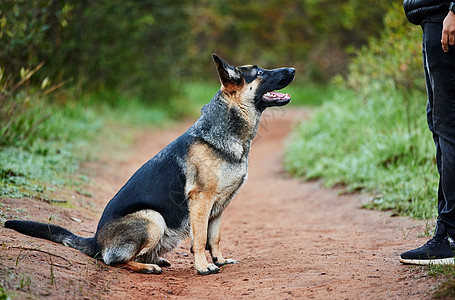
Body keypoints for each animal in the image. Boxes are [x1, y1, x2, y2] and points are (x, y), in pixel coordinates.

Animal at [5, 54, 298, 274]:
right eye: (260, 71)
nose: (293, 69)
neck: (226, 131)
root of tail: (96, 242)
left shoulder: (219, 207)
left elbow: (213, 237)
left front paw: (220, 260)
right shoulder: (201, 202)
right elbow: (200, 239)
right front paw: (203, 267)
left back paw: (155, 260)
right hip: (152, 218)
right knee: (114, 260)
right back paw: (146, 267)